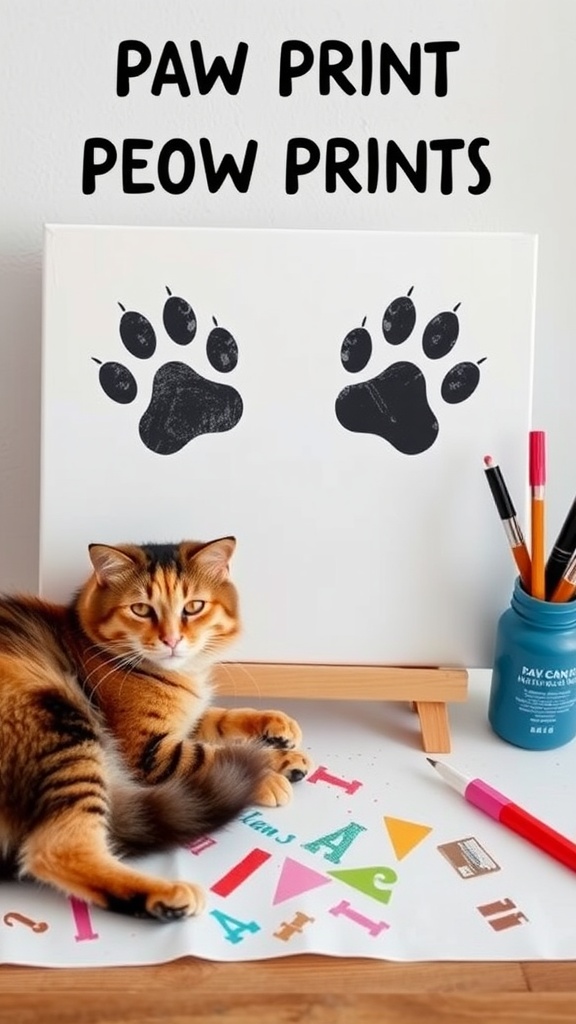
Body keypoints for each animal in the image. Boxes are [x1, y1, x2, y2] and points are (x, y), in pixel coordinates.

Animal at [0, 540, 311, 925]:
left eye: (193, 607)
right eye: (140, 609)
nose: (172, 640)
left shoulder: (189, 719)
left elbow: (221, 718)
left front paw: (279, 730)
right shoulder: (148, 750)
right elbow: (206, 753)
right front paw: (271, 772)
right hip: (64, 727)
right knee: (56, 850)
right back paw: (166, 895)